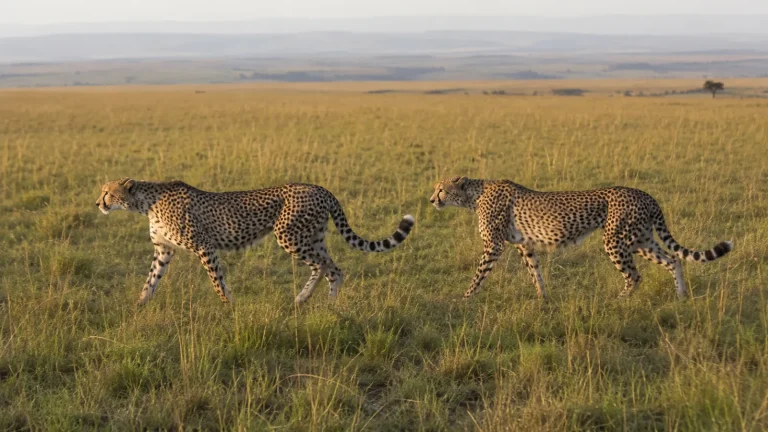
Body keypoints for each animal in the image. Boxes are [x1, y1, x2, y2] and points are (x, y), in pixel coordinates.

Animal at [96, 178, 414, 305]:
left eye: (107, 192)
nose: (98, 203)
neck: (145, 202)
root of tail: (319, 187)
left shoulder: (204, 246)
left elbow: (217, 282)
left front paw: (230, 307)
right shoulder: (163, 250)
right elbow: (150, 282)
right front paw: (138, 307)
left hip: (288, 235)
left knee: (327, 266)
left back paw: (315, 301)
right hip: (312, 236)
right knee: (331, 268)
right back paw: (317, 302)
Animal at [430, 176, 732, 300]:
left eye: (441, 189)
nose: (432, 199)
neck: (474, 195)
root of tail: (644, 194)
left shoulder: (493, 246)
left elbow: (478, 275)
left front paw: (465, 298)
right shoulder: (525, 246)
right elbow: (536, 274)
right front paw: (543, 299)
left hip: (616, 240)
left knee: (634, 275)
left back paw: (619, 300)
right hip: (640, 239)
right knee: (673, 260)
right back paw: (681, 296)